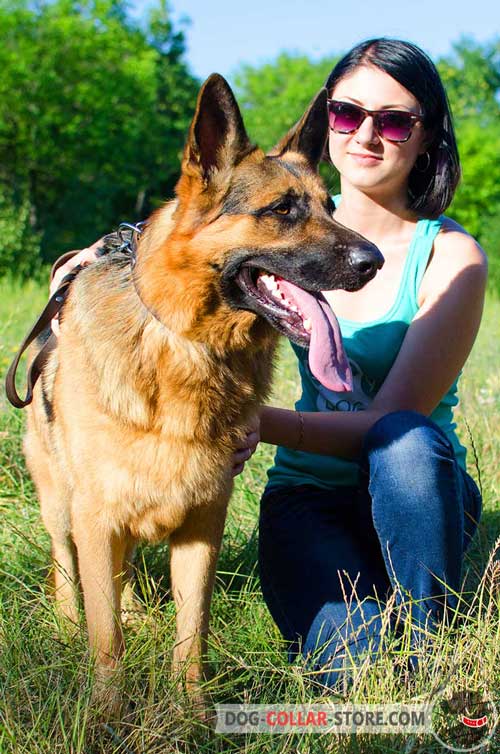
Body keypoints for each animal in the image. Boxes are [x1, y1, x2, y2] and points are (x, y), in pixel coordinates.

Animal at [23, 75, 382, 712]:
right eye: (282, 210)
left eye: (330, 207)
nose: (376, 260)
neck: (186, 341)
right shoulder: (96, 519)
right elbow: (105, 638)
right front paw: (108, 714)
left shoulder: (200, 526)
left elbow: (192, 632)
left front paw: (191, 713)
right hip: (62, 506)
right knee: (68, 572)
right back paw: (67, 625)